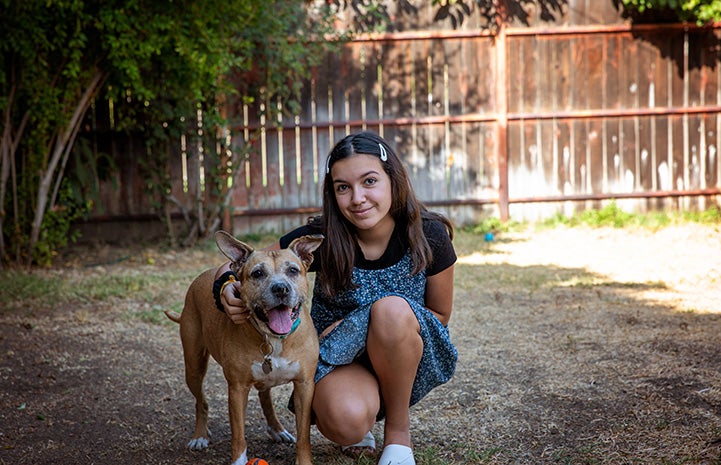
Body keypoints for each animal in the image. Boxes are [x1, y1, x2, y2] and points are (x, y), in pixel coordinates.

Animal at [166, 230, 324, 464]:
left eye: (293, 270)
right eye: (257, 273)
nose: (281, 288)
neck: (272, 338)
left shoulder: (304, 385)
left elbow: (304, 435)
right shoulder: (237, 389)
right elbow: (238, 435)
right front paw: (238, 460)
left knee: (264, 396)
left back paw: (277, 429)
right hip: (193, 367)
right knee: (200, 401)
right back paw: (200, 436)